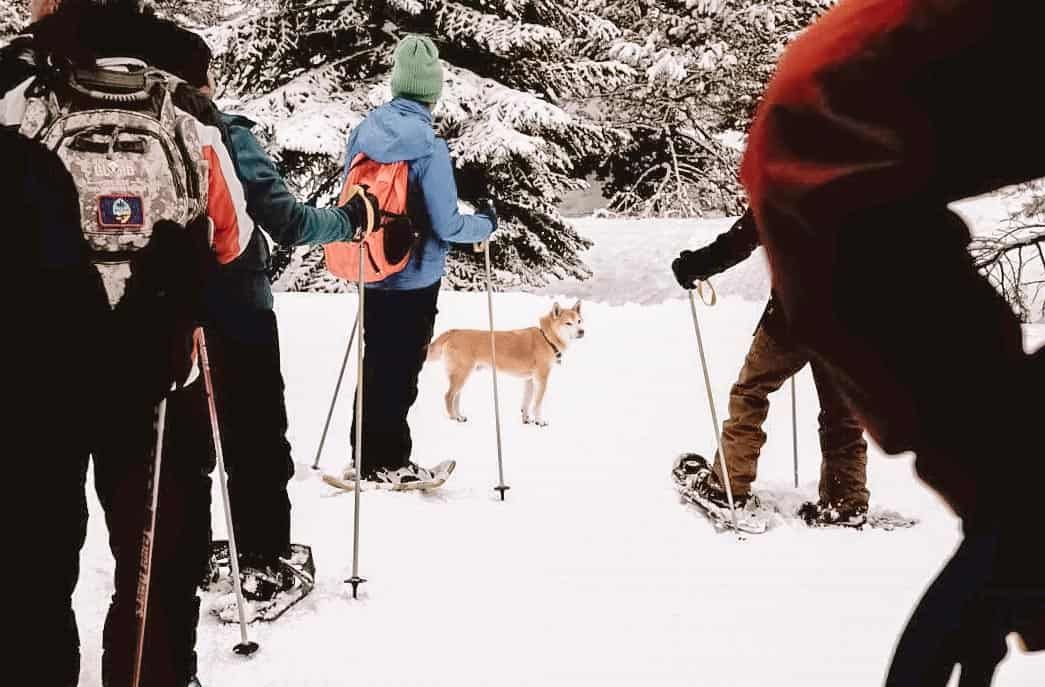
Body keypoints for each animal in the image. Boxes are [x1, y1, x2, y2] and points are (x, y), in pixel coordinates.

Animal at [426, 300, 585, 427]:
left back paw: (460, 416)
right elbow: (537, 404)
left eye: (579, 321)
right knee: (448, 396)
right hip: (461, 375)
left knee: (455, 398)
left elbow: (526, 402)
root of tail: (453, 332)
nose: (582, 332)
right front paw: (539, 421)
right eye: (568, 323)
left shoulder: (529, 379)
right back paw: (454, 418)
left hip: (462, 376)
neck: (546, 337)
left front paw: (526, 419)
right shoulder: (541, 378)